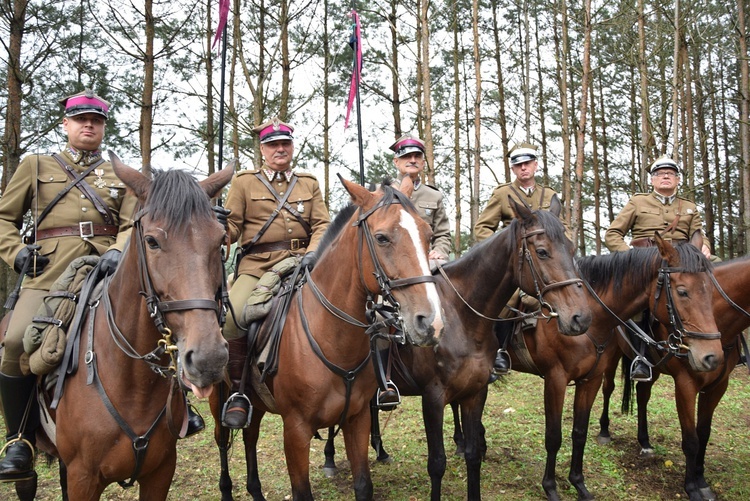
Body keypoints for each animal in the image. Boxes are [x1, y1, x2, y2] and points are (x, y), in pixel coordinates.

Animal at [2, 154, 235, 498]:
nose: (209, 359)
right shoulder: (84, 478)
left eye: (220, 240)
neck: (131, 382)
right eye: (151, 241)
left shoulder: (160, 473)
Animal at [210, 178, 446, 498]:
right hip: (218, 402)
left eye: (427, 235)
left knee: (250, 437)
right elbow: (302, 491)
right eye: (382, 238)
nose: (430, 322)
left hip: (256, 405)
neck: (333, 337)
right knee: (223, 442)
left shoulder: (357, 420)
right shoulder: (295, 430)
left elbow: (363, 484)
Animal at [326, 200, 596, 500]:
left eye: (572, 250)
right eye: (542, 251)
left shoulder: (475, 393)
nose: (581, 318)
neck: (462, 317)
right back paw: (330, 459)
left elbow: (473, 454)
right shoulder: (432, 398)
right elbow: (437, 464)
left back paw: (380, 451)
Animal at [596, 254, 748, 500]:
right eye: (683, 292)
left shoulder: (718, 387)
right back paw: (604, 431)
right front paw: (691, 487)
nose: (710, 357)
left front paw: (701, 480)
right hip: (610, 355)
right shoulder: (686, 385)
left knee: (642, 395)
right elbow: (691, 440)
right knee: (608, 388)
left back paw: (645, 442)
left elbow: (703, 434)